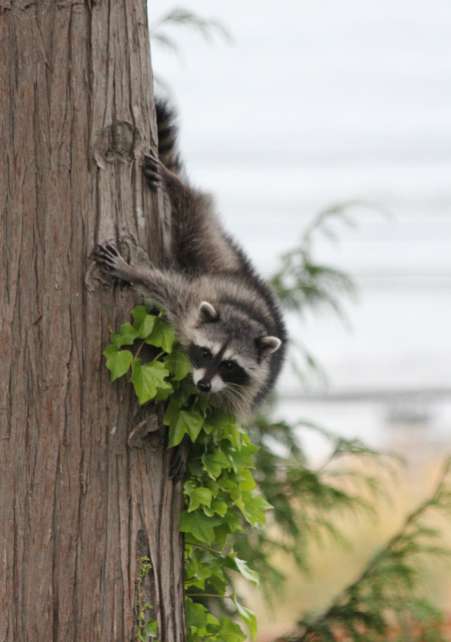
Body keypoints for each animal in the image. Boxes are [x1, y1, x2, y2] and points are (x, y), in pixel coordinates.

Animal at [95, 101, 286, 419]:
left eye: (230, 365)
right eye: (206, 352)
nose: (204, 385)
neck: (244, 314)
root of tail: (242, 271)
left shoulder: (248, 390)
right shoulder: (189, 304)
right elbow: (165, 287)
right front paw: (134, 271)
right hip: (208, 255)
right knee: (192, 220)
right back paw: (177, 188)